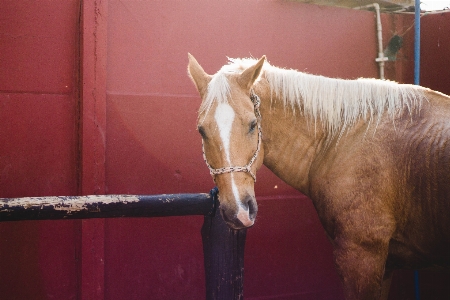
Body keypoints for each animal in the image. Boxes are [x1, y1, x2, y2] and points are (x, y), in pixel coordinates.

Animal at [187, 54, 450, 300]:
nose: (239, 211)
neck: (341, 137)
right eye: (201, 130)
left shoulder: (361, 257)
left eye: (252, 124)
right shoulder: (385, 265)